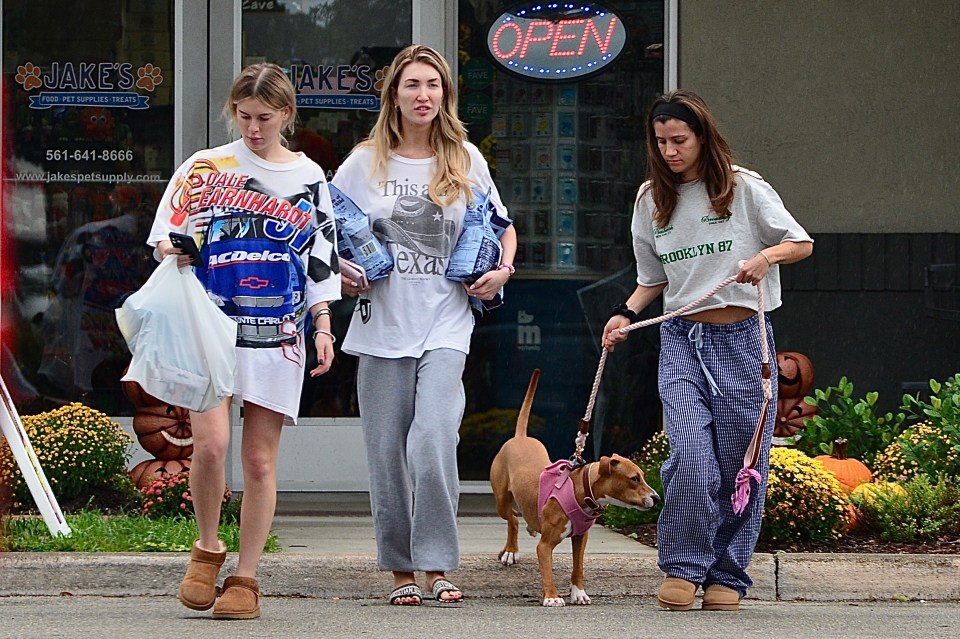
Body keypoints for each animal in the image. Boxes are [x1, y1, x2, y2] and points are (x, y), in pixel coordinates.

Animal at [488, 368, 660, 608]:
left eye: (642, 476)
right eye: (634, 479)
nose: (657, 498)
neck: (582, 491)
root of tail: (520, 438)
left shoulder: (581, 537)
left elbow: (578, 566)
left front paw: (578, 593)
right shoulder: (545, 545)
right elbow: (547, 568)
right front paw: (551, 596)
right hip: (501, 499)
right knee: (512, 517)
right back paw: (511, 552)